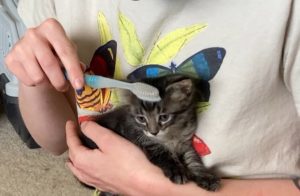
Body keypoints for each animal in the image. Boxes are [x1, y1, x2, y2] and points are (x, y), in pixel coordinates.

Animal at [82, 74, 220, 194]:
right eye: (141, 119)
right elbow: (164, 154)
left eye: (164, 117)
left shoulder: (186, 143)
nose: (153, 132)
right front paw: (177, 171)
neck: (170, 136)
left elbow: (193, 159)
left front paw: (206, 177)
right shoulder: (146, 141)